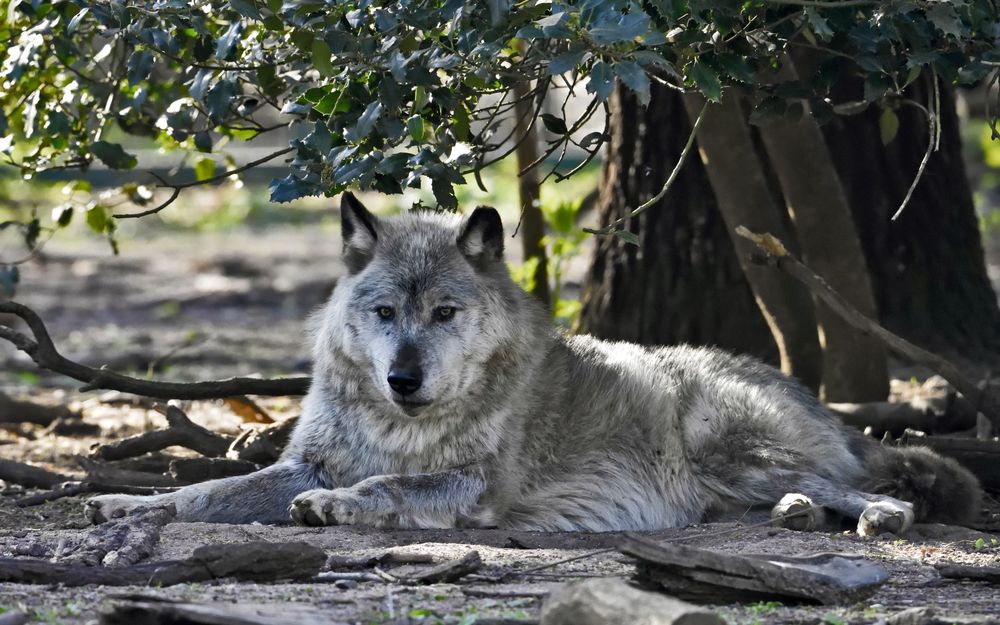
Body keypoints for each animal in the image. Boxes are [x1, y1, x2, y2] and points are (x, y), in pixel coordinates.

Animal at [85, 193, 981, 535]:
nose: (403, 378)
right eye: (386, 313)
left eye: (445, 314)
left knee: (873, 484)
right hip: (729, 475)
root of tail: (810, 392)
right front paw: (126, 507)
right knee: (802, 489)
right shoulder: (306, 460)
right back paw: (797, 512)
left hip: (723, 446)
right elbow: (206, 492)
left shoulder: (477, 486)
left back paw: (872, 514)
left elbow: (386, 486)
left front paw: (339, 508)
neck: (397, 422)